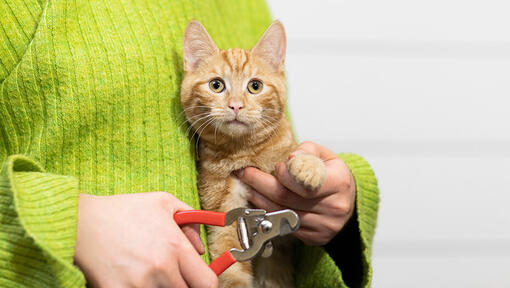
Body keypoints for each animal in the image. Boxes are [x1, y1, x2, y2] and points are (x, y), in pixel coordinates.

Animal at [179, 20, 326, 288]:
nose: (236, 105)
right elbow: (233, 270)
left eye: (255, 86)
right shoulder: (225, 214)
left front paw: (309, 167)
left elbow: (294, 152)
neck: (244, 152)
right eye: (216, 85)